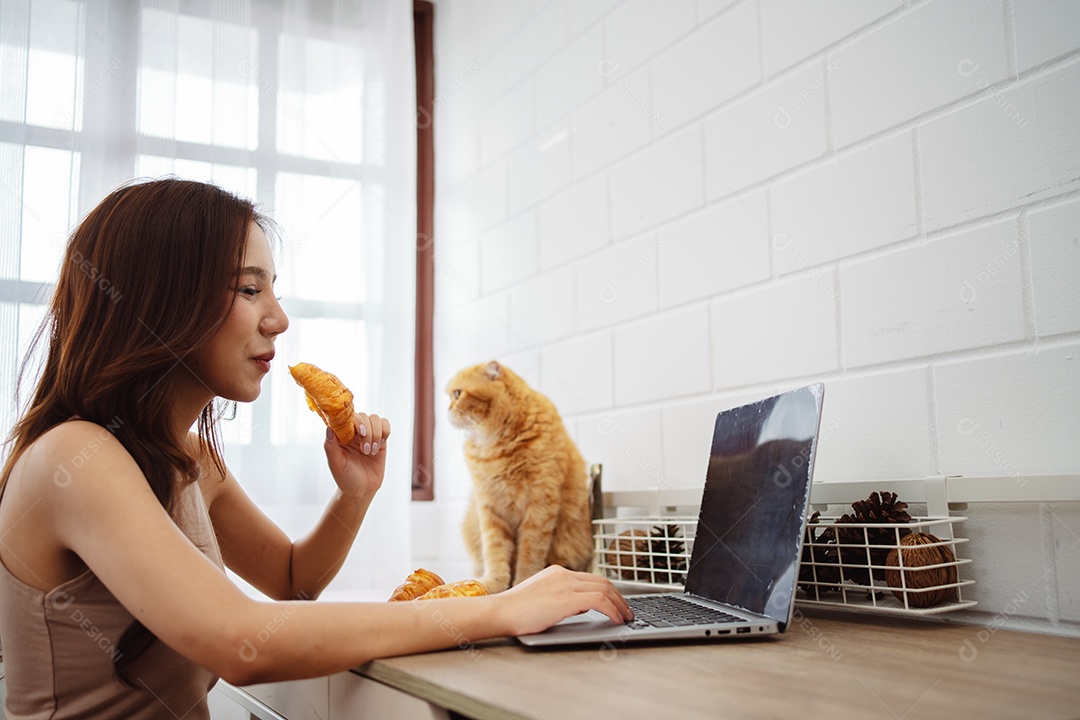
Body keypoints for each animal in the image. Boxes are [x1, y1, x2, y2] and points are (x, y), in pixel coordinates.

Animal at [444, 360, 591, 591]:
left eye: (457, 394)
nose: (447, 410)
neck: (495, 445)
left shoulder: (540, 505)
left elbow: (531, 551)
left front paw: (525, 581)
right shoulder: (489, 508)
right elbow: (495, 551)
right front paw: (494, 582)